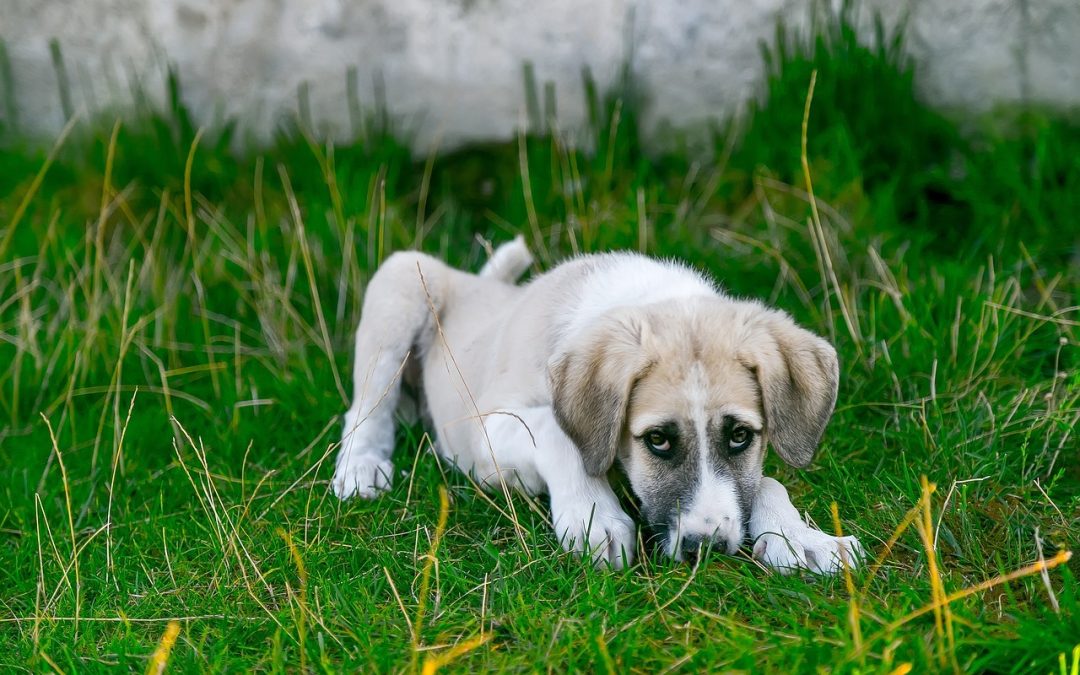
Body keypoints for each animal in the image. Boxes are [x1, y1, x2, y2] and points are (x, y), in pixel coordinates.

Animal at [328, 239, 859, 570]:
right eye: (657, 440)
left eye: (741, 436)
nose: (705, 548)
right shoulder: (487, 431)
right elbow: (557, 433)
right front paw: (593, 516)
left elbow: (765, 481)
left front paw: (801, 538)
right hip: (401, 281)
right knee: (365, 407)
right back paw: (361, 467)